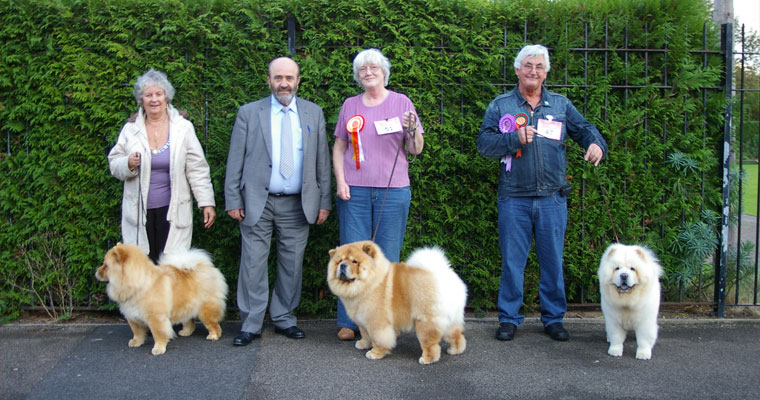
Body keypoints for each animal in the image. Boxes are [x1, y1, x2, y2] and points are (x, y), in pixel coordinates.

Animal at [328, 241, 470, 366]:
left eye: (354, 261)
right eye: (339, 261)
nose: (343, 265)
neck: (370, 283)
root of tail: (443, 275)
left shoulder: (376, 322)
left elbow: (378, 338)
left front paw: (375, 353)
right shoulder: (362, 319)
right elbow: (365, 334)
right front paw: (363, 344)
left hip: (426, 321)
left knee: (431, 344)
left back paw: (427, 359)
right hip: (452, 318)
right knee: (456, 334)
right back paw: (455, 350)